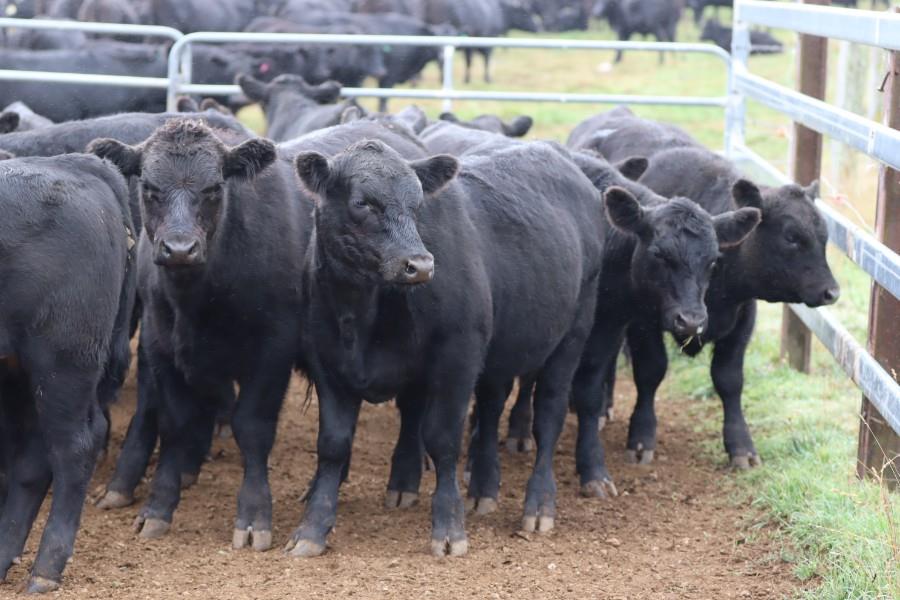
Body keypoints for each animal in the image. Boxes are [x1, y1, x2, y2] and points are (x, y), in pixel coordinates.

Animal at [0, 152, 135, 592]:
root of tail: (77, 163)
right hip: (20, 369)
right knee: (31, 458)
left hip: (63, 360)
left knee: (74, 447)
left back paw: (46, 569)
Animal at [89, 119, 306, 552]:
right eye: (149, 188)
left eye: (214, 189)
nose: (179, 249)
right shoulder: (161, 348)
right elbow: (175, 423)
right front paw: (157, 508)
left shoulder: (273, 353)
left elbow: (252, 428)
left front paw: (254, 517)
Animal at [284, 126, 608, 556]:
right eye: (362, 203)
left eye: (418, 202)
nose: (420, 265)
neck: (364, 312)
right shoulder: (328, 362)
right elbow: (333, 444)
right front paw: (311, 530)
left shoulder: (458, 357)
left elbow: (443, 440)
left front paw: (449, 529)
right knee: (489, 411)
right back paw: (481, 490)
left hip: (572, 335)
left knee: (549, 418)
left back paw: (539, 506)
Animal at [620, 146, 836, 468]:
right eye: (791, 236)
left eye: (824, 236)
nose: (831, 291)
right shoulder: (642, 320)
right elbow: (650, 370)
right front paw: (641, 437)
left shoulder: (743, 319)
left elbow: (729, 380)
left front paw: (741, 445)